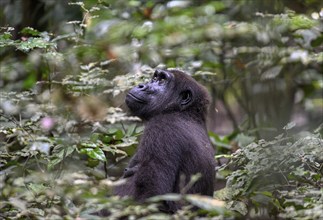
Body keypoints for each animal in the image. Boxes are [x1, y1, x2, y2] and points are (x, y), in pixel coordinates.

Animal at [115, 68, 216, 211]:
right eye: (155, 78)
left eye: (162, 80)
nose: (141, 85)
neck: (183, 113)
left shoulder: (161, 129)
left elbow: (153, 194)